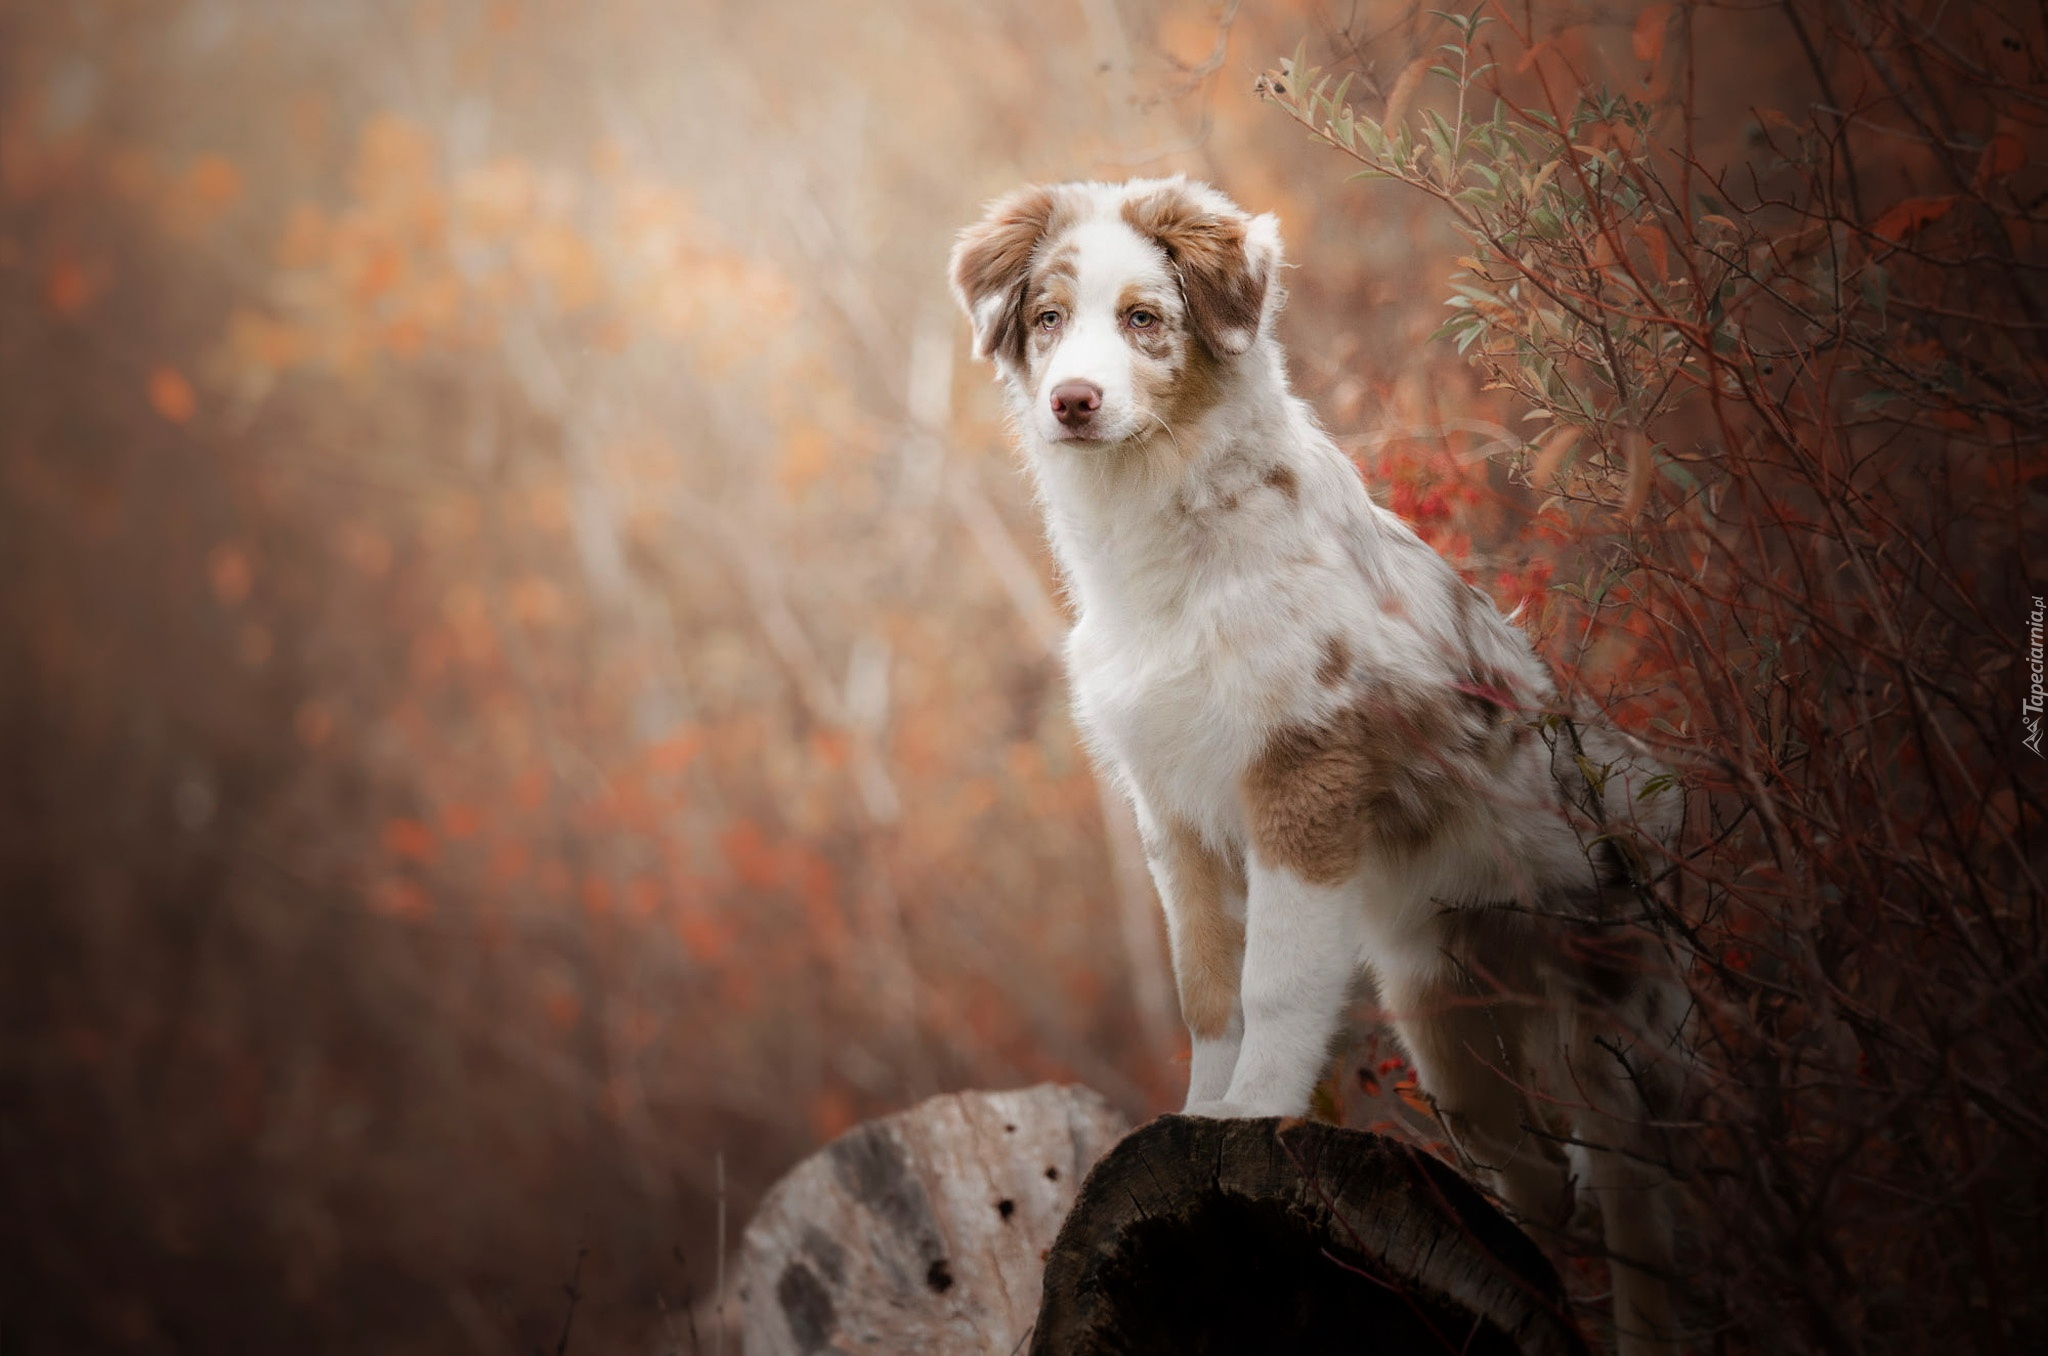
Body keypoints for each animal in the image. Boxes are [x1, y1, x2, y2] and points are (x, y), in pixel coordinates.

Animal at [950, 178, 1687, 1351]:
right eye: (1049, 319)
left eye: (1144, 319)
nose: (1071, 401)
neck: (1167, 548)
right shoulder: (1174, 814)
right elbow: (1209, 989)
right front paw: (1200, 1112)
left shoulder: (1302, 768)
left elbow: (1280, 977)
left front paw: (1255, 1107)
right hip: (1442, 1021)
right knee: (1521, 1168)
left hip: (1624, 1037)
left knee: (1636, 1213)